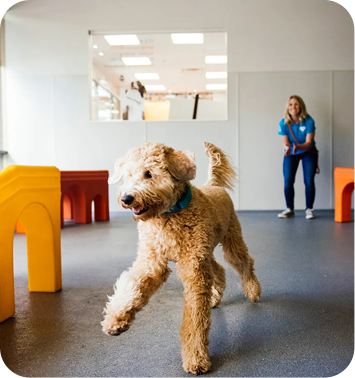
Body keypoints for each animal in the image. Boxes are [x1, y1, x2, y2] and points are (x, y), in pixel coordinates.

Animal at [101, 142, 262, 376]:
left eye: (149, 173)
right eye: (128, 175)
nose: (126, 198)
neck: (168, 216)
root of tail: (212, 185)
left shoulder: (193, 270)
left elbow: (195, 319)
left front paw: (196, 358)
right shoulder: (152, 262)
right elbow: (132, 285)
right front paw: (116, 318)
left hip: (230, 241)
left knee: (244, 263)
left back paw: (253, 289)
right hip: (205, 252)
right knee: (219, 269)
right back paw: (215, 297)